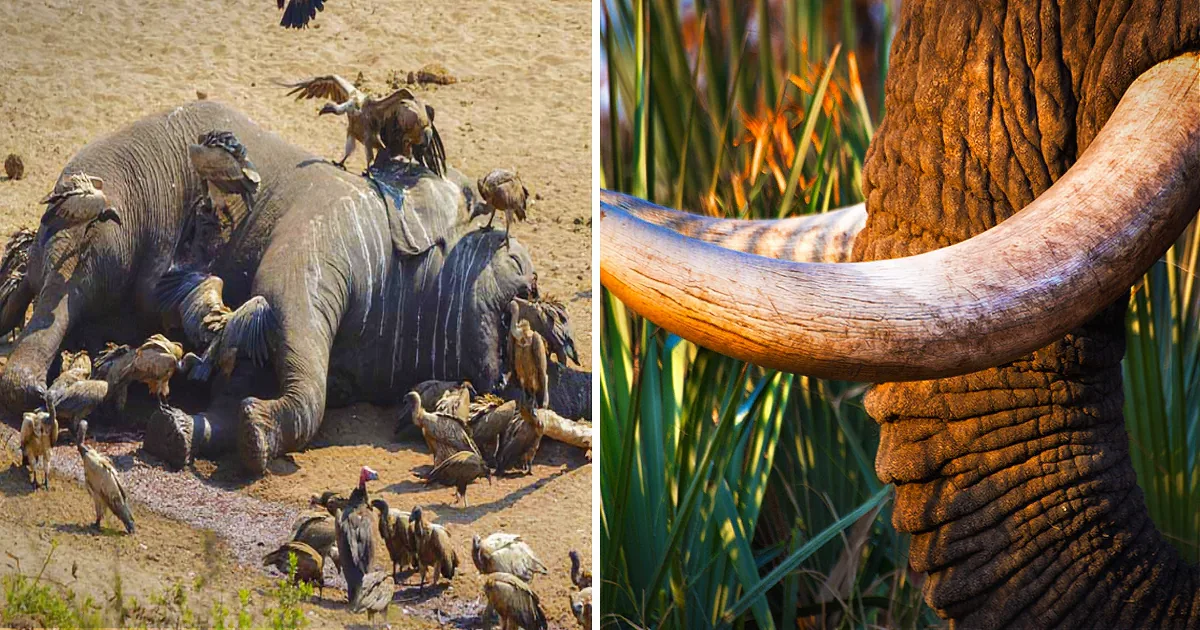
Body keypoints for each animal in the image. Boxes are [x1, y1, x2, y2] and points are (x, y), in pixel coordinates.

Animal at [0, 100, 580, 476]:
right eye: (512, 258)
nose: (537, 290)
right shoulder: (322, 236)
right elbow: (292, 337)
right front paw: (256, 432)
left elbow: (241, 381)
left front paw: (182, 433)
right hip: (116, 204)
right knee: (64, 289)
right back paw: (28, 385)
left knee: (39, 286)